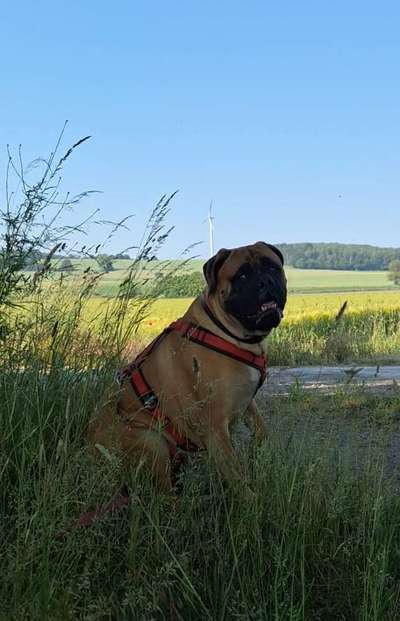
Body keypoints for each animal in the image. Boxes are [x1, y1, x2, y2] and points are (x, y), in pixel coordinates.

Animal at [87, 242, 288, 494]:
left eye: (272, 267)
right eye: (242, 275)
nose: (265, 281)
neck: (229, 333)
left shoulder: (247, 401)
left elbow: (262, 430)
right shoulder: (215, 425)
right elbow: (235, 472)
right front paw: (250, 498)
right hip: (152, 441)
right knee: (162, 493)